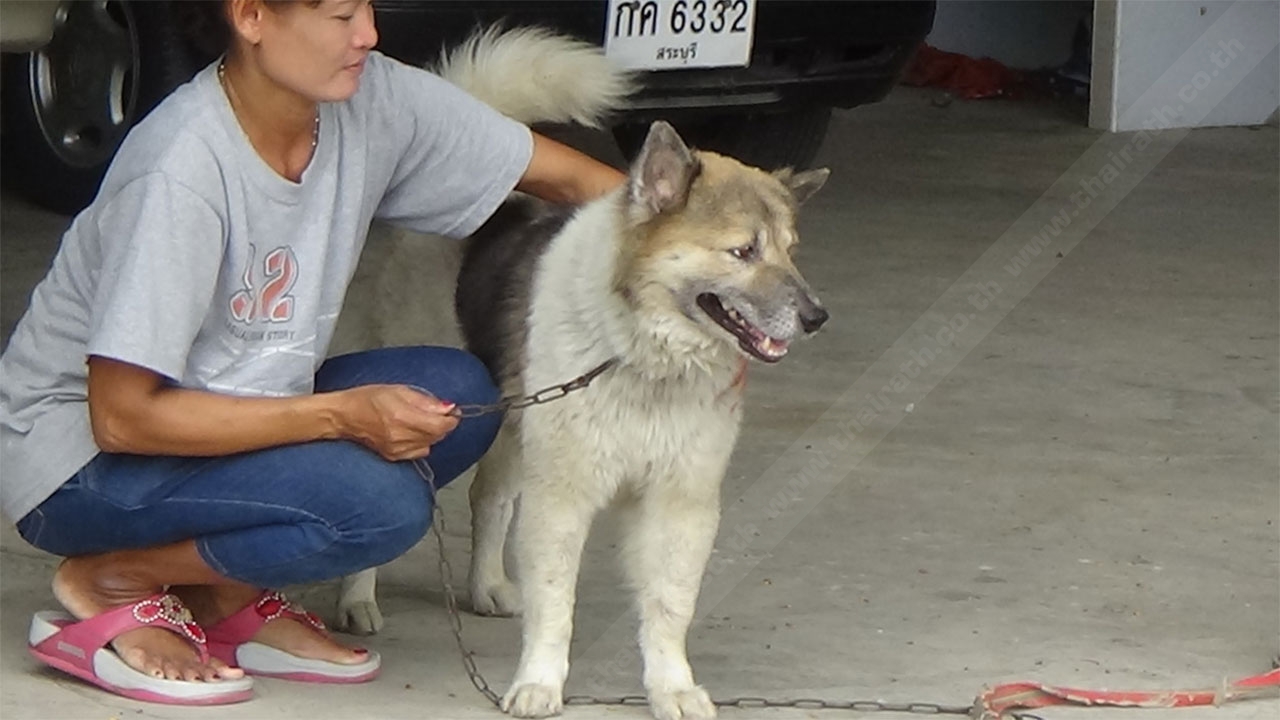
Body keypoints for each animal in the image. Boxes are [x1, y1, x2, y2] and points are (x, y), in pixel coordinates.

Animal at [335, 28, 829, 717]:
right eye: (742, 251)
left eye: (790, 251)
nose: (816, 316)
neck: (643, 353)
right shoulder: (562, 497)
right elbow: (555, 604)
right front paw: (540, 681)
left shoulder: (679, 501)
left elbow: (668, 606)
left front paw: (671, 686)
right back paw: (357, 598)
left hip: (515, 416)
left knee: (490, 498)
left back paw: (486, 585)